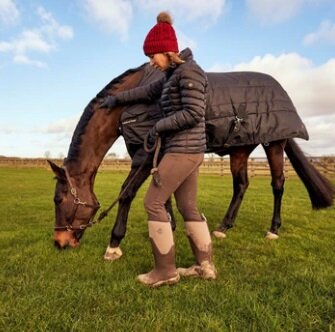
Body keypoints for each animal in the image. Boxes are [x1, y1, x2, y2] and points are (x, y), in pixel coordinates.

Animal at [48, 62, 334, 260]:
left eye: (59, 200)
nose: (59, 242)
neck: (130, 105)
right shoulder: (158, 154)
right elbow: (165, 193)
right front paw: (169, 226)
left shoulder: (144, 156)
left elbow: (127, 193)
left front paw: (114, 245)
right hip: (240, 149)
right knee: (241, 185)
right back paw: (223, 227)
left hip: (274, 144)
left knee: (277, 184)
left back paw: (273, 229)